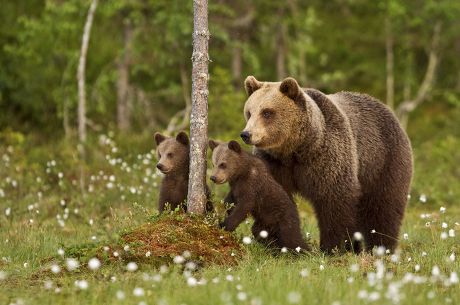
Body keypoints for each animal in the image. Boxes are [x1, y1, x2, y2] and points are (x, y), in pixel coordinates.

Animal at [241, 75, 414, 252]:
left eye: (267, 112)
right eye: (249, 112)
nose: (246, 134)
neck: (295, 149)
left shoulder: (326, 157)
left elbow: (334, 198)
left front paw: (333, 247)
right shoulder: (273, 163)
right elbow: (273, 198)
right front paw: (275, 240)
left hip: (383, 161)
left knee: (383, 206)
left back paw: (381, 248)